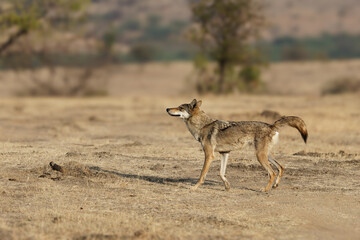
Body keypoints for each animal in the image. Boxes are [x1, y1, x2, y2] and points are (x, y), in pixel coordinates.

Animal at [166, 99, 306, 191]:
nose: (167, 109)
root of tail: (271, 125)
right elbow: (221, 173)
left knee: (272, 173)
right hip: (266, 155)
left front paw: (194, 187)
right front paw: (227, 186)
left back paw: (265, 190)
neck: (203, 126)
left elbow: (201, 175)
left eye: (180, 108)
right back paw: (275, 186)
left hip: (260, 156)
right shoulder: (225, 153)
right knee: (281, 167)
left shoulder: (209, 155)